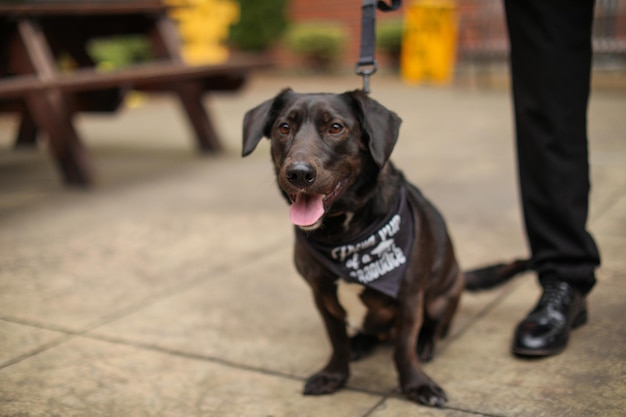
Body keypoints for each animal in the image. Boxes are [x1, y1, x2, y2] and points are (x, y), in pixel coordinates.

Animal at [243, 88, 520, 406]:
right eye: (284, 128)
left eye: (335, 127)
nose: (299, 173)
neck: (343, 233)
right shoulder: (322, 295)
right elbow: (337, 341)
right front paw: (334, 375)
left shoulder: (409, 297)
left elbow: (403, 349)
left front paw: (416, 384)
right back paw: (360, 343)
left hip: (443, 296)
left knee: (433, 326)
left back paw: (425, 343)